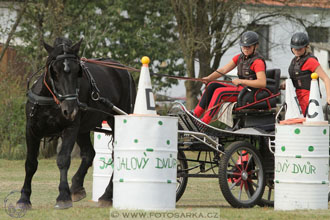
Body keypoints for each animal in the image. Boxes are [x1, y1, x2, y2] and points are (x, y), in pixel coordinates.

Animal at [17, 37, 136, 209]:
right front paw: (24, 198)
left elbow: (63, 159)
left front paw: (63, 196)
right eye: (54, 71)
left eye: (77, 71)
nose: (71, 109)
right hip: (83, 128)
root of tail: (124, 70)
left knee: (115, 154)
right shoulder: (32, 129)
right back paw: (77, 186)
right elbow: (31, 163)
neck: (52, 101)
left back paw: (106, 195)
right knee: (89, 153)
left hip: (116, 120)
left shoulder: (71, 128)